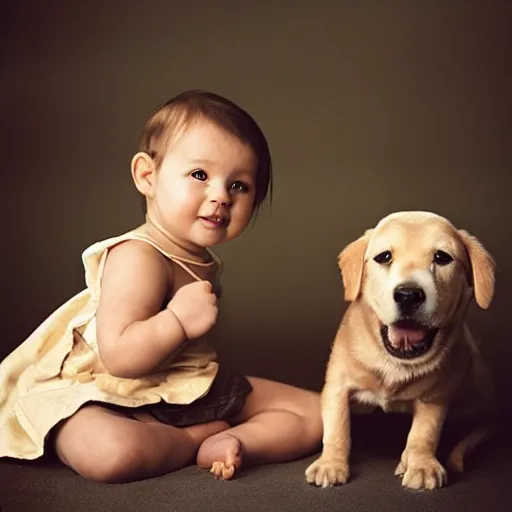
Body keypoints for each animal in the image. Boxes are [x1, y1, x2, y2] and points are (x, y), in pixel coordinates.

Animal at [306, 212, 494, 492]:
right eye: (384, 257)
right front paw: (331, 463)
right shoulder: (337, 386)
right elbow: (337, 426)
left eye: (442, 257)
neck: (394, 362)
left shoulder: (435, 399)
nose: (408, 295)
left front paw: (421, 464)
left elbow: (424, 433)